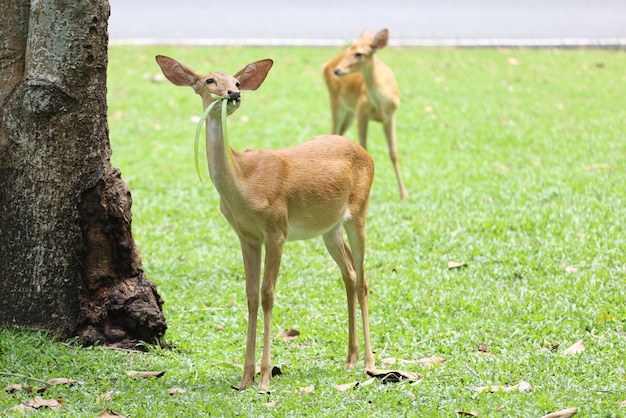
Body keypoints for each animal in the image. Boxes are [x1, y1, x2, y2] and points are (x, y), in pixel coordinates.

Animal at [154, 54, 376, 390]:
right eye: (209, 80)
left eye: (237, 81)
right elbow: (250, 295)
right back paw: (350, 358)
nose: (234, 94)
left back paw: (370, 363)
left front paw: (265, 378)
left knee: (362, 279)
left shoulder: (277, 228)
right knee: (349, 273)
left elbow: (268, 295)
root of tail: (367, 153)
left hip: (359, 210)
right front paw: (245, 377)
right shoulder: (247, 236)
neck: (244, 184)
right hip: (330, 228)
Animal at [324, 27, 408, 201]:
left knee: (339, 134)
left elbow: (393, 152)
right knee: (333, 131)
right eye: (349, 49)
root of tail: (326, 64)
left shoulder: (390, 115)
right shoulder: (361, 111)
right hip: (337, 102)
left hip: (349, 113)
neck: (380, 103)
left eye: (359, 54)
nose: (337, 70)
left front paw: (404, 194)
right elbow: (364, 147)